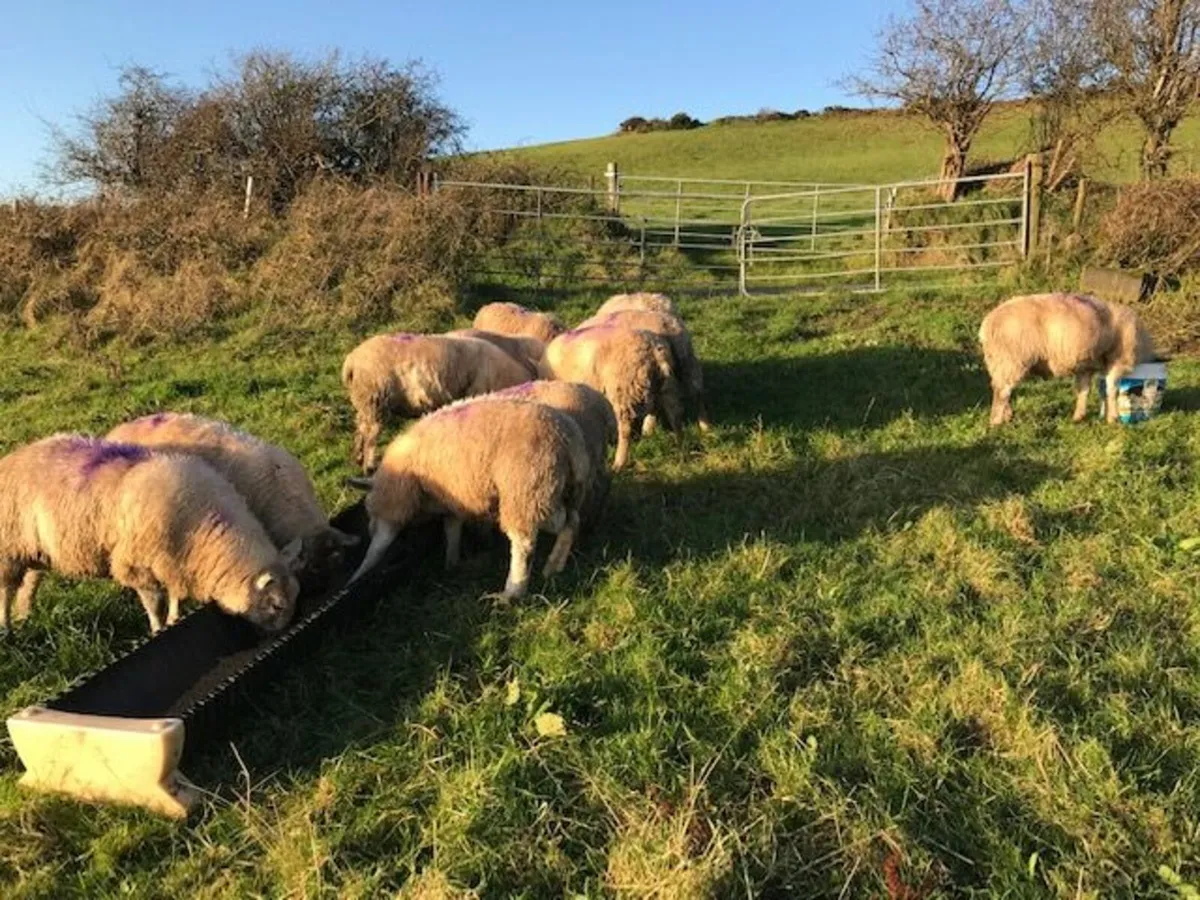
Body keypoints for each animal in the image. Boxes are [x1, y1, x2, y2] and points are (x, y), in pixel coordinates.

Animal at [0, 435, 301, 634]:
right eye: (276, 606)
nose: (283, 631)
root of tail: (12, 457)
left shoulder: (176, 562)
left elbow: (176, 596)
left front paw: (174, 619)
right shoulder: (137, 566)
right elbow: (154, 603)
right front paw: (158, 629)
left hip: (34, 551)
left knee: (29, 582)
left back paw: (24, 615)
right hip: (8, 549)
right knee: (6, 590)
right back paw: (7, 628)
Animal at [341, 332, 533, 472]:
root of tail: (351, 362)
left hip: (364, 402)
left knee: (360, 427)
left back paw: (357, 457)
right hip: (375, 399)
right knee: (370, 434)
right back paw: (369, 465)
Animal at [347, 398, 590, 600]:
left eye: (369, 513)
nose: (368, 528)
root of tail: (569, 440)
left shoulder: (395, 504)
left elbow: (377, 549)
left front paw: (357, 578)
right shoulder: (450, 503)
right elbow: (452, 530)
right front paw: (451, 564)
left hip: (525, 490)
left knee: (525, 542)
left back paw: (511, 592)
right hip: (553, 490)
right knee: (571, 520)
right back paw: (555, 564)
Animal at [539, 323, 683, 470]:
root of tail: (654, 351)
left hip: (623, 389)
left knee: (626, 430)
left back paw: (619, 462)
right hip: (666, 385)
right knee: (674, 414)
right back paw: (679, 447)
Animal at [979, 292, 1157, 426]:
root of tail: (988, 324)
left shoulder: (1086, 366)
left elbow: (1084, 390)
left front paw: (1079, 416)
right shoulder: (1118, 360)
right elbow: (1112, 389)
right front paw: (1113, 419)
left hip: (999, 361)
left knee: (1000, 388)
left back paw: (1006, 416)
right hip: (1012, 359)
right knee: (1003, 391)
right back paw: (996, 422)